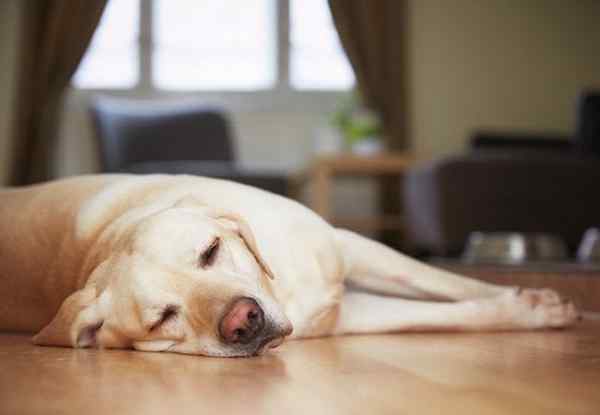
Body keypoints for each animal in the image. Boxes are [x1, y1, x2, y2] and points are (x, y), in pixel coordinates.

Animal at [0, 175, 580, 358]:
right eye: (163, 319)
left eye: (210, 250)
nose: (244, 322)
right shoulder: (349, 315)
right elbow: (440, 315)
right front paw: (528, 309)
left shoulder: (349, 246)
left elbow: (446, 281)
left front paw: (534, 305)